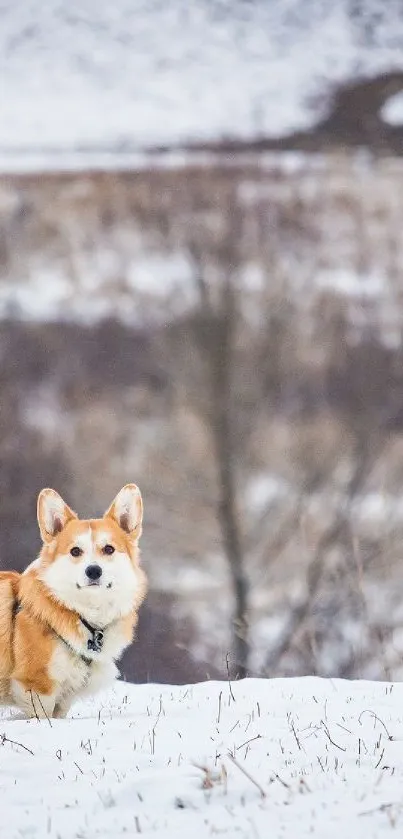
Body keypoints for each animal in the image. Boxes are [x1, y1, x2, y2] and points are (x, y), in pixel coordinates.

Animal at [0, 488, 147, 720]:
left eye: (109, 549)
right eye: (75, 551)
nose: (93, 571)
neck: (85, 614)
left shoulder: (65, 697)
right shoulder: (38, 687)